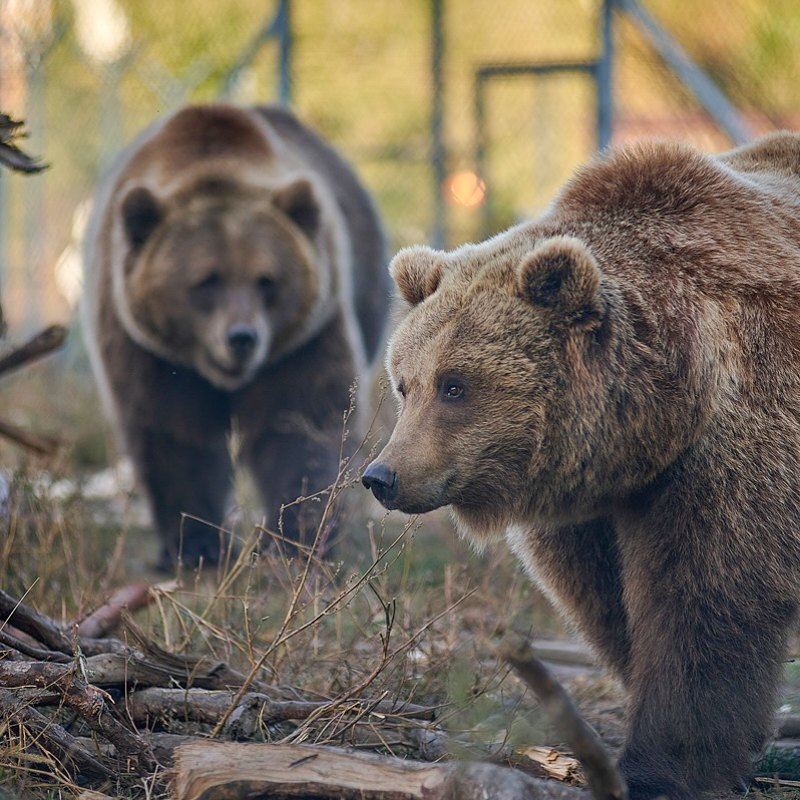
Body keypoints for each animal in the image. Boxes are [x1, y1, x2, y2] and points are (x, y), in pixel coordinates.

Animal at [83, 104, 390, 568]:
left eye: (267, 279)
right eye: (206, 280)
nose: (242, 338)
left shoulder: (301, 342)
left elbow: (299, 423)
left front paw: (295, 538)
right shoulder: (149, 350)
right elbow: (173, 432)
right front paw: (197, 544)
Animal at [364, 131, 800, 800]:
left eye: (455, 385)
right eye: (405, 384)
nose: (382, 476)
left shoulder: (739, 438)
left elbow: (706, 599)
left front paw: (661, 766)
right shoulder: (594, 504)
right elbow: (608, 599)